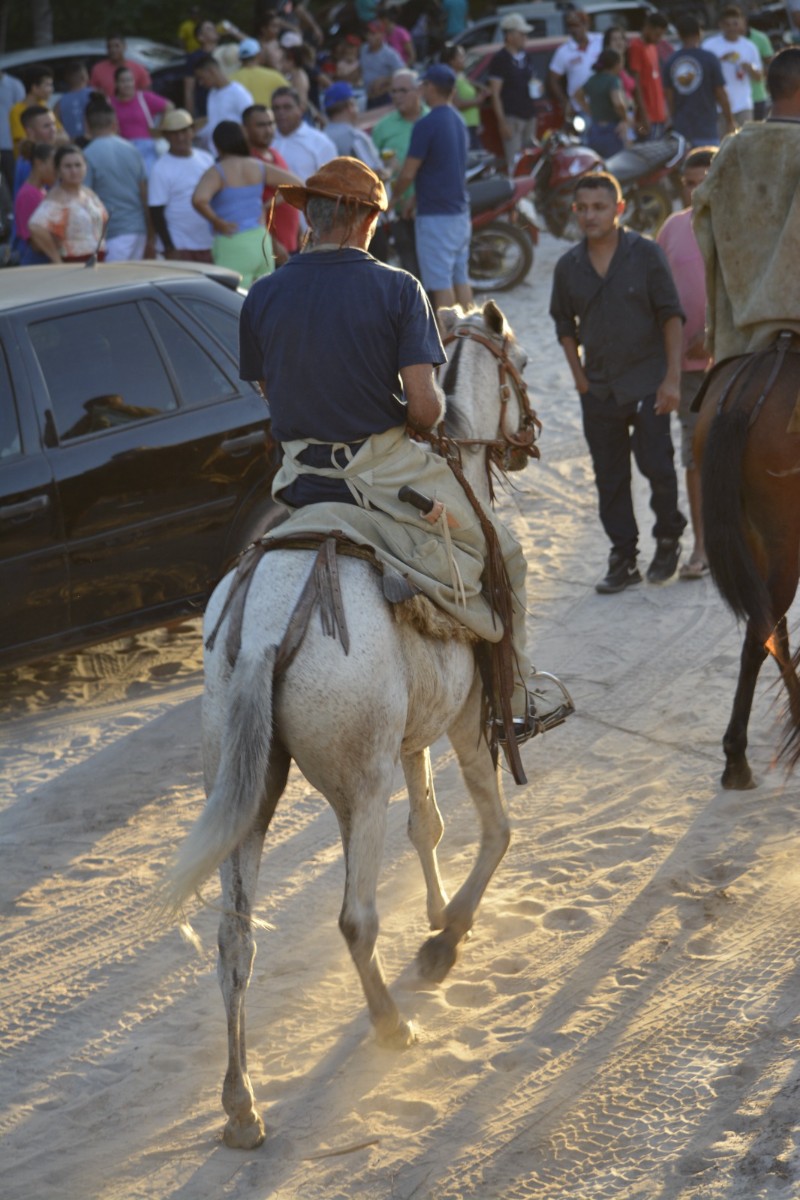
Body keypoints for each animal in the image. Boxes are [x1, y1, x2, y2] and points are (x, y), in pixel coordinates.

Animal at [165, 295, 544, 1147]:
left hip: (247, 791)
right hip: (356, 786)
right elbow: (495, 827)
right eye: (521, 362)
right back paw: (392, 1023)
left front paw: (437, 909)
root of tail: (266, 629)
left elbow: (428, 825)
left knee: (235, 937)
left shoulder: (413, 736)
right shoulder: (468, 717)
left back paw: (241, 1102)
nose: (529, 439)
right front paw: (446, 935)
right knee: (354, 918)